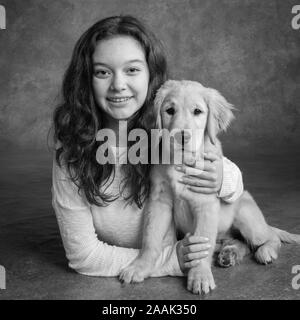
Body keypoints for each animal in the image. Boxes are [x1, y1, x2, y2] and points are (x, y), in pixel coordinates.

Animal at [119, 80, 300, 296]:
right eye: (169, 110)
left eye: (197, 111)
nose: (181, 137)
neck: (182, 161)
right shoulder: (159, 202)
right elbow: (151, 237)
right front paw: (140, 266)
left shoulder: (205, 205)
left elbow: (202, 241)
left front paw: (200, 276)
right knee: (240, 243)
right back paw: (229, 254)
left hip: (246, 217)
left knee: (268, 237)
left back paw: (265, 251)